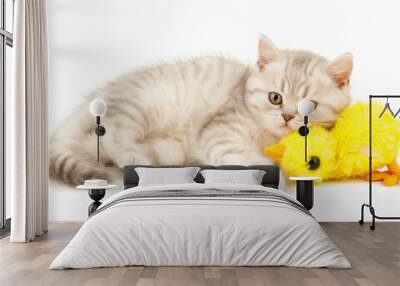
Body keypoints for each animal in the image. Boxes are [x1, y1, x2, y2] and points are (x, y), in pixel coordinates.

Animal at [50, 35, 354, 184]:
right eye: (275, 98)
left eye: (309, 107)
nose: (288, 116)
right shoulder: (219, 131)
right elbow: (254, 160)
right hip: (140, 104)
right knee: (114, 134)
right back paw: (135, 160)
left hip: (168, 148)